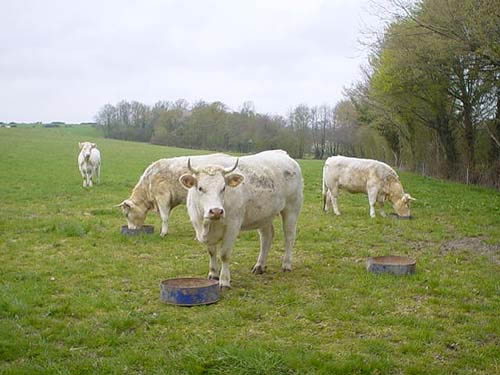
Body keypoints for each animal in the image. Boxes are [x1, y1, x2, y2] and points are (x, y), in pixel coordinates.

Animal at [180, 149, 304, 288]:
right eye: (200, 188)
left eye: (223, 188)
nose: (216, 211)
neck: (209, 225)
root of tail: (283, 154)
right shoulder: (203, 229)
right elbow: (211, 252)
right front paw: (213, 274)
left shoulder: (233, 226)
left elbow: (224, 255)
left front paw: (224, 281)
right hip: (264, 215)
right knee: (266, 237)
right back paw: (259, 266)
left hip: (292, 208)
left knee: (289, 236)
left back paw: (286, 264)